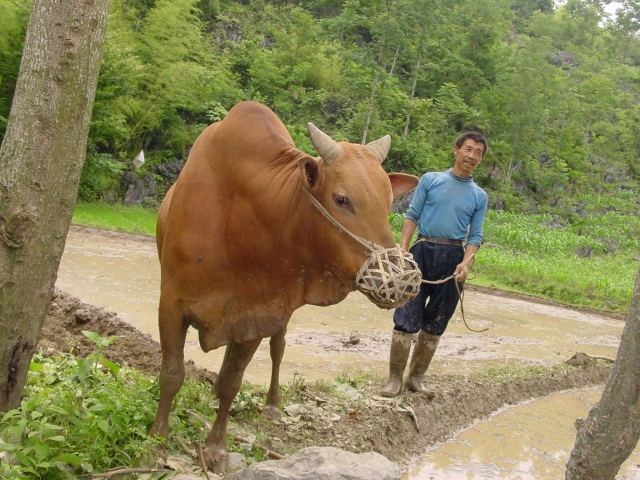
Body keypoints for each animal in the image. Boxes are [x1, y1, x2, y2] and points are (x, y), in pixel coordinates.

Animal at [150, 101, 420, 472]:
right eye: (341, 199)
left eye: (387, 201)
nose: (402, 278)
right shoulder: (172, 304)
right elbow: (172, 375)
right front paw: (155, 446)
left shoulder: (259, 312)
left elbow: (234, 380)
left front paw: (217, 448)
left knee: (276, 349)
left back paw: (271, 404)